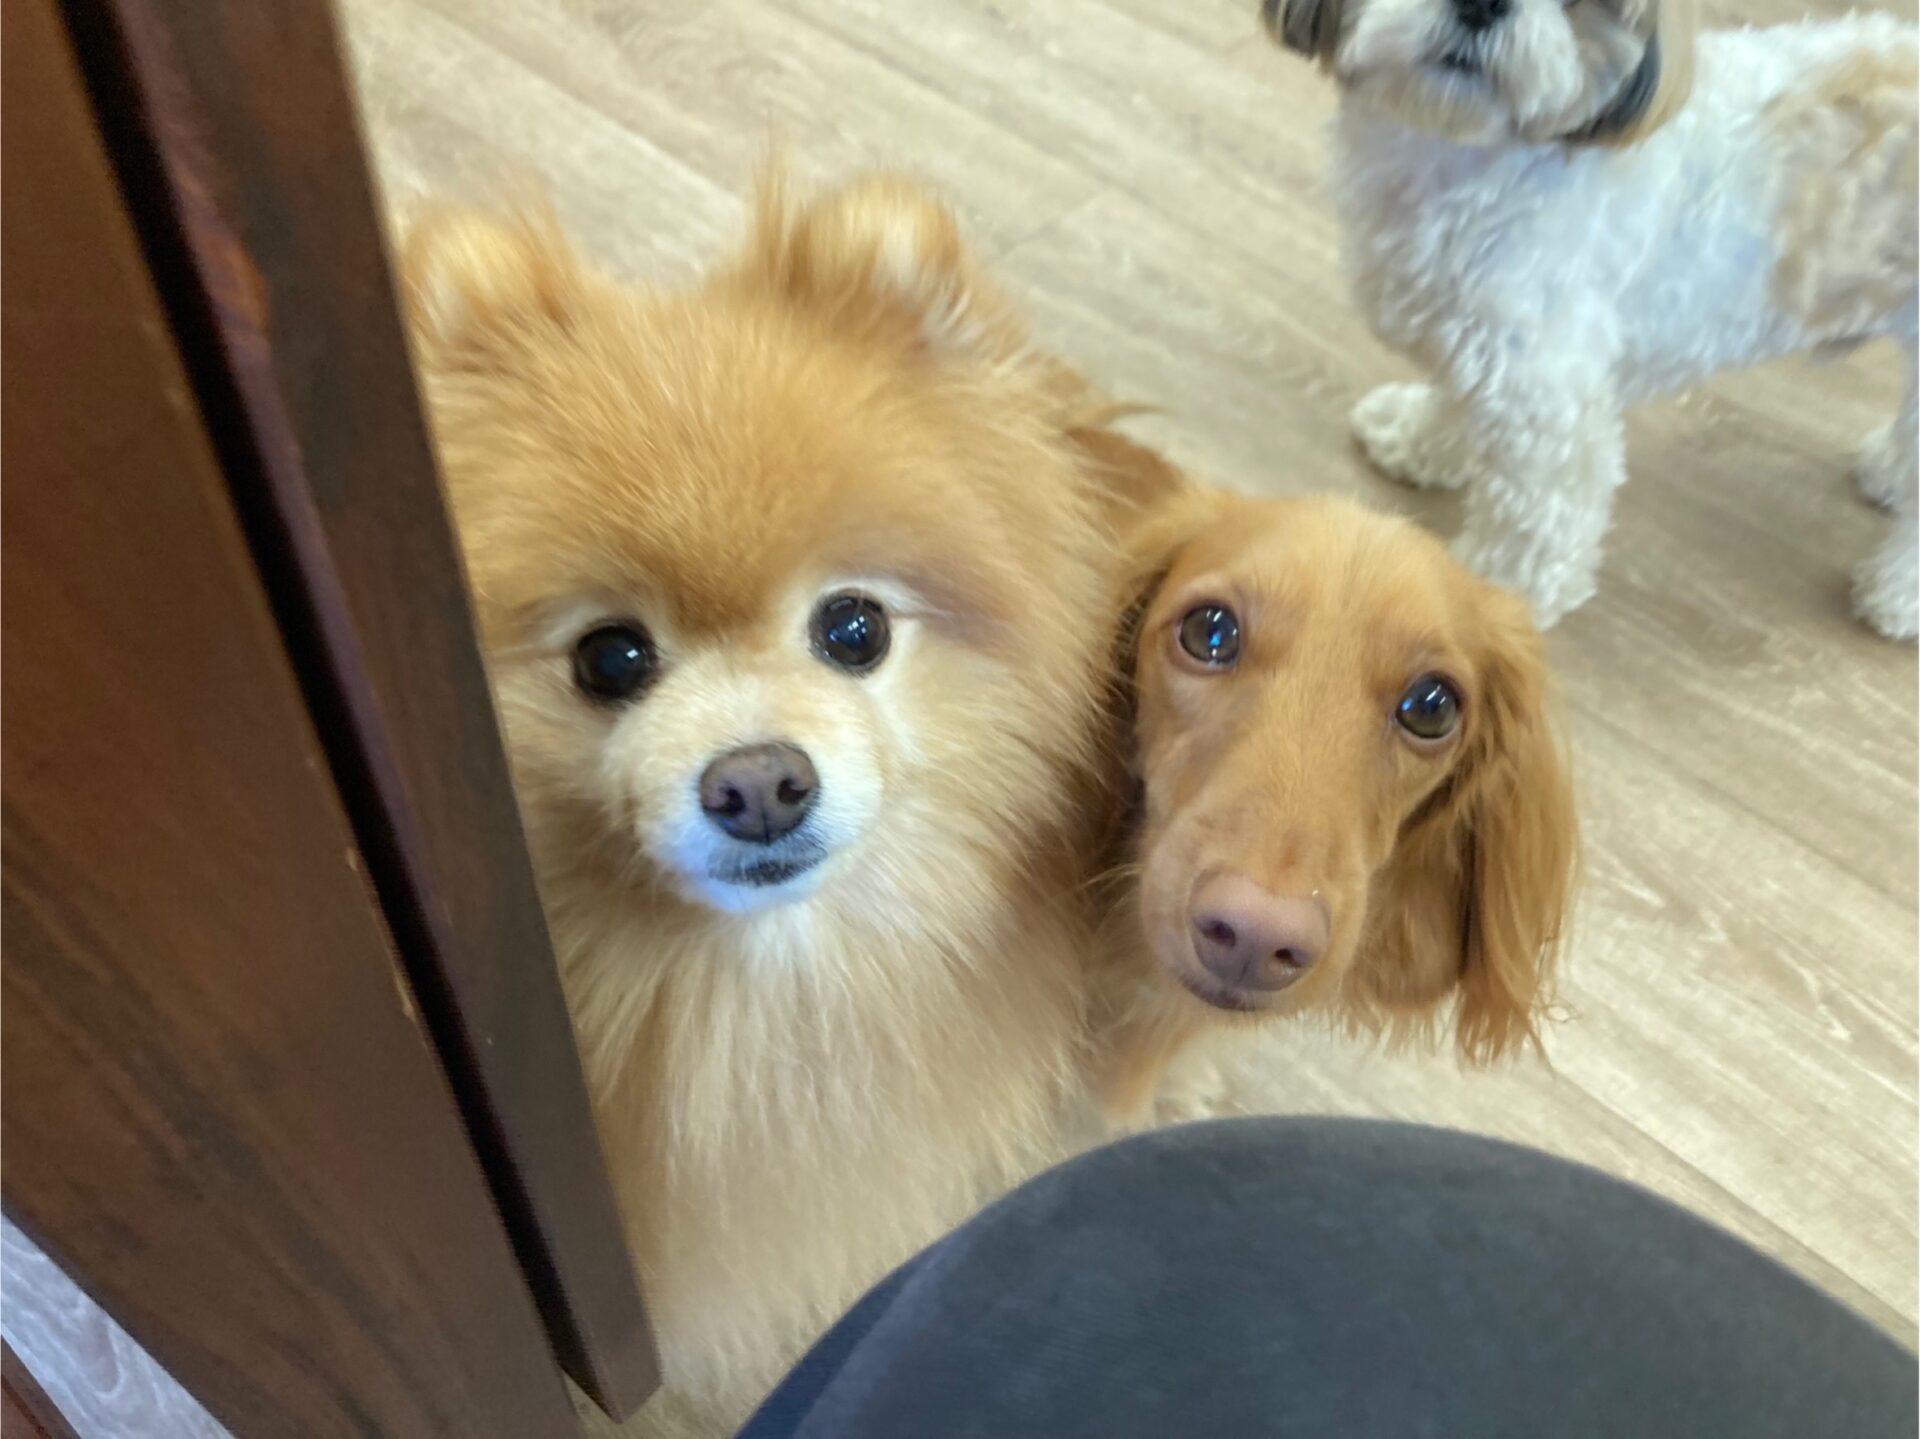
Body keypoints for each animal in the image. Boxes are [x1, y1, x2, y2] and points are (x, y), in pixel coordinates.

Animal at [1262, 0, 1918, 638]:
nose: (1483, 2)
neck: (1463, 151)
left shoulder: (1545, 395)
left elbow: (1534, 523)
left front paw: (1492, 604)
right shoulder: (1475, 338)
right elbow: (1455, 399)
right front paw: (1415, 438)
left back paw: (1896, 597)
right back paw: (1890, 471)